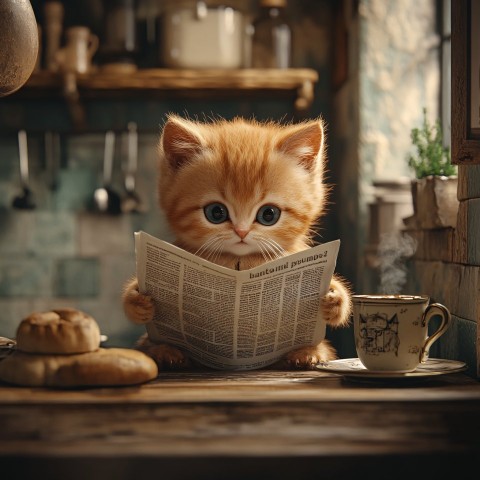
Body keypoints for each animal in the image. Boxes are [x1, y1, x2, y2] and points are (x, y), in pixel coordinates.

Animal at [122, 114, 350, 370]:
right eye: (216, 212)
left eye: (268, 214)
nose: (241, 231)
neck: (239, 262)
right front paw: (138, 301)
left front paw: (334, 298)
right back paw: (165, 351)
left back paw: (307, 353)